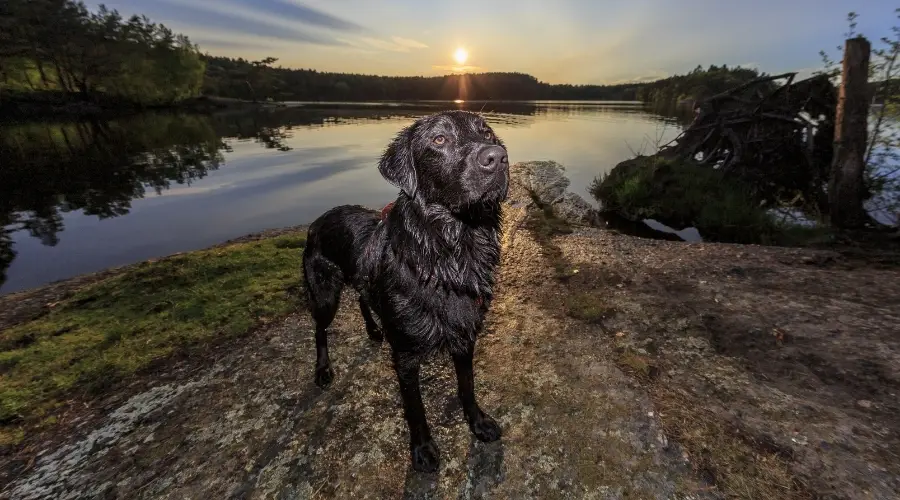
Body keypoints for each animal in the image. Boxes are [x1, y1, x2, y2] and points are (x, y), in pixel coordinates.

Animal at [302, 110, 510, 472]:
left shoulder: (465, 336)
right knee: (319, 328)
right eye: (439, 139)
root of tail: (315, 223)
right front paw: (423, 449)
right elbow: (415, 409)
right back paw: (323, 369)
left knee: (362, 296)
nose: (497, 157)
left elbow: (467, 386)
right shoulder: (405, 356)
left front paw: (478, 423)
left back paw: (374, 330)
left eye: (486, 132)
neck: (453, 254)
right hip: (325, 294)